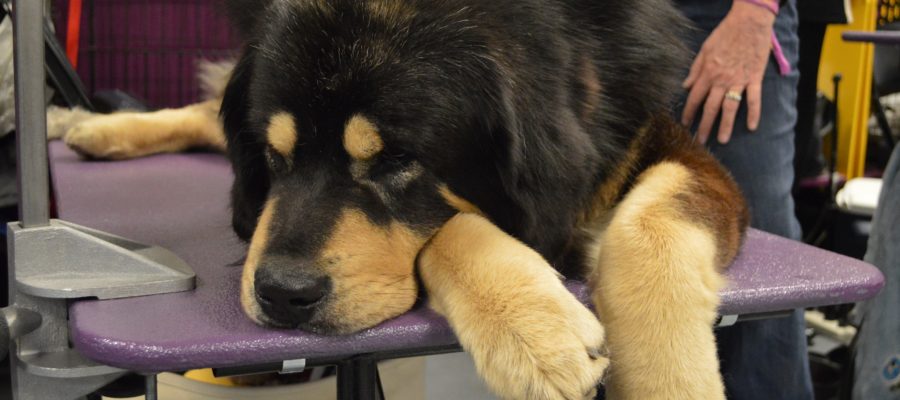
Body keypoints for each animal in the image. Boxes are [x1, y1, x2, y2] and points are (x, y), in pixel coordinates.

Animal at [56, 1, 748, 398]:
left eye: (393, 161)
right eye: (275, 157)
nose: (280, 293)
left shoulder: (655, 139)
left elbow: (652, 226)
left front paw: (669, 382)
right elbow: (452, 225)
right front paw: (535, 328)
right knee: (207, 109)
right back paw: (86, 127)